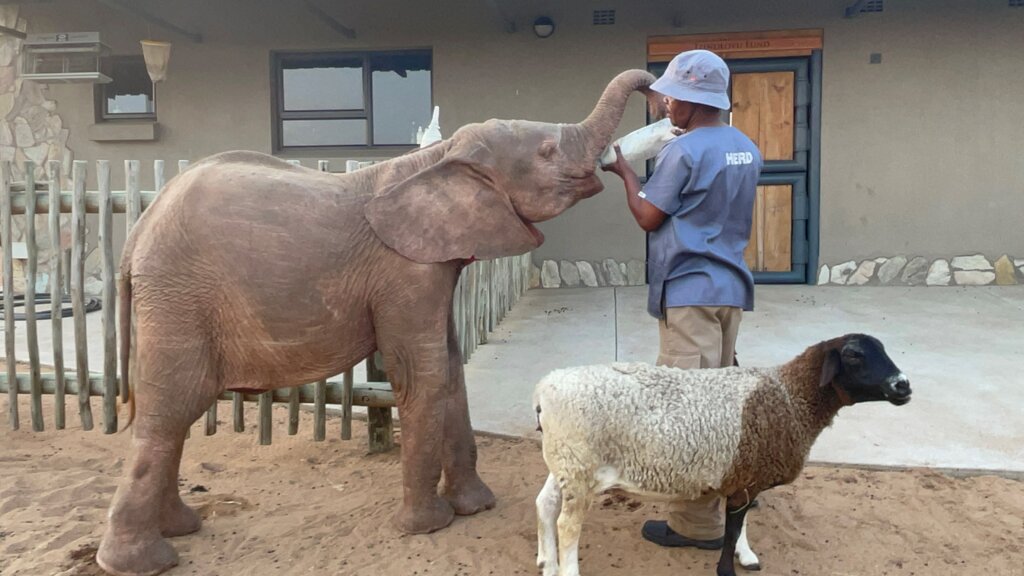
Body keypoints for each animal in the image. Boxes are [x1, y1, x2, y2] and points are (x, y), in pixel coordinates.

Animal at [95, 68, 662, 576]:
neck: (438, 159)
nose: (657, 88)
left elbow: (450, 371)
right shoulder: (404, 271)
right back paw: (143, 561)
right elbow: (423, 375)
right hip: (179, 298)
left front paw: (476, 507)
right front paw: (429, 526)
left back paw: (181, 527)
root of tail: (137, 231)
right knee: (171, 408)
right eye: (545, 151)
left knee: (169, 414)